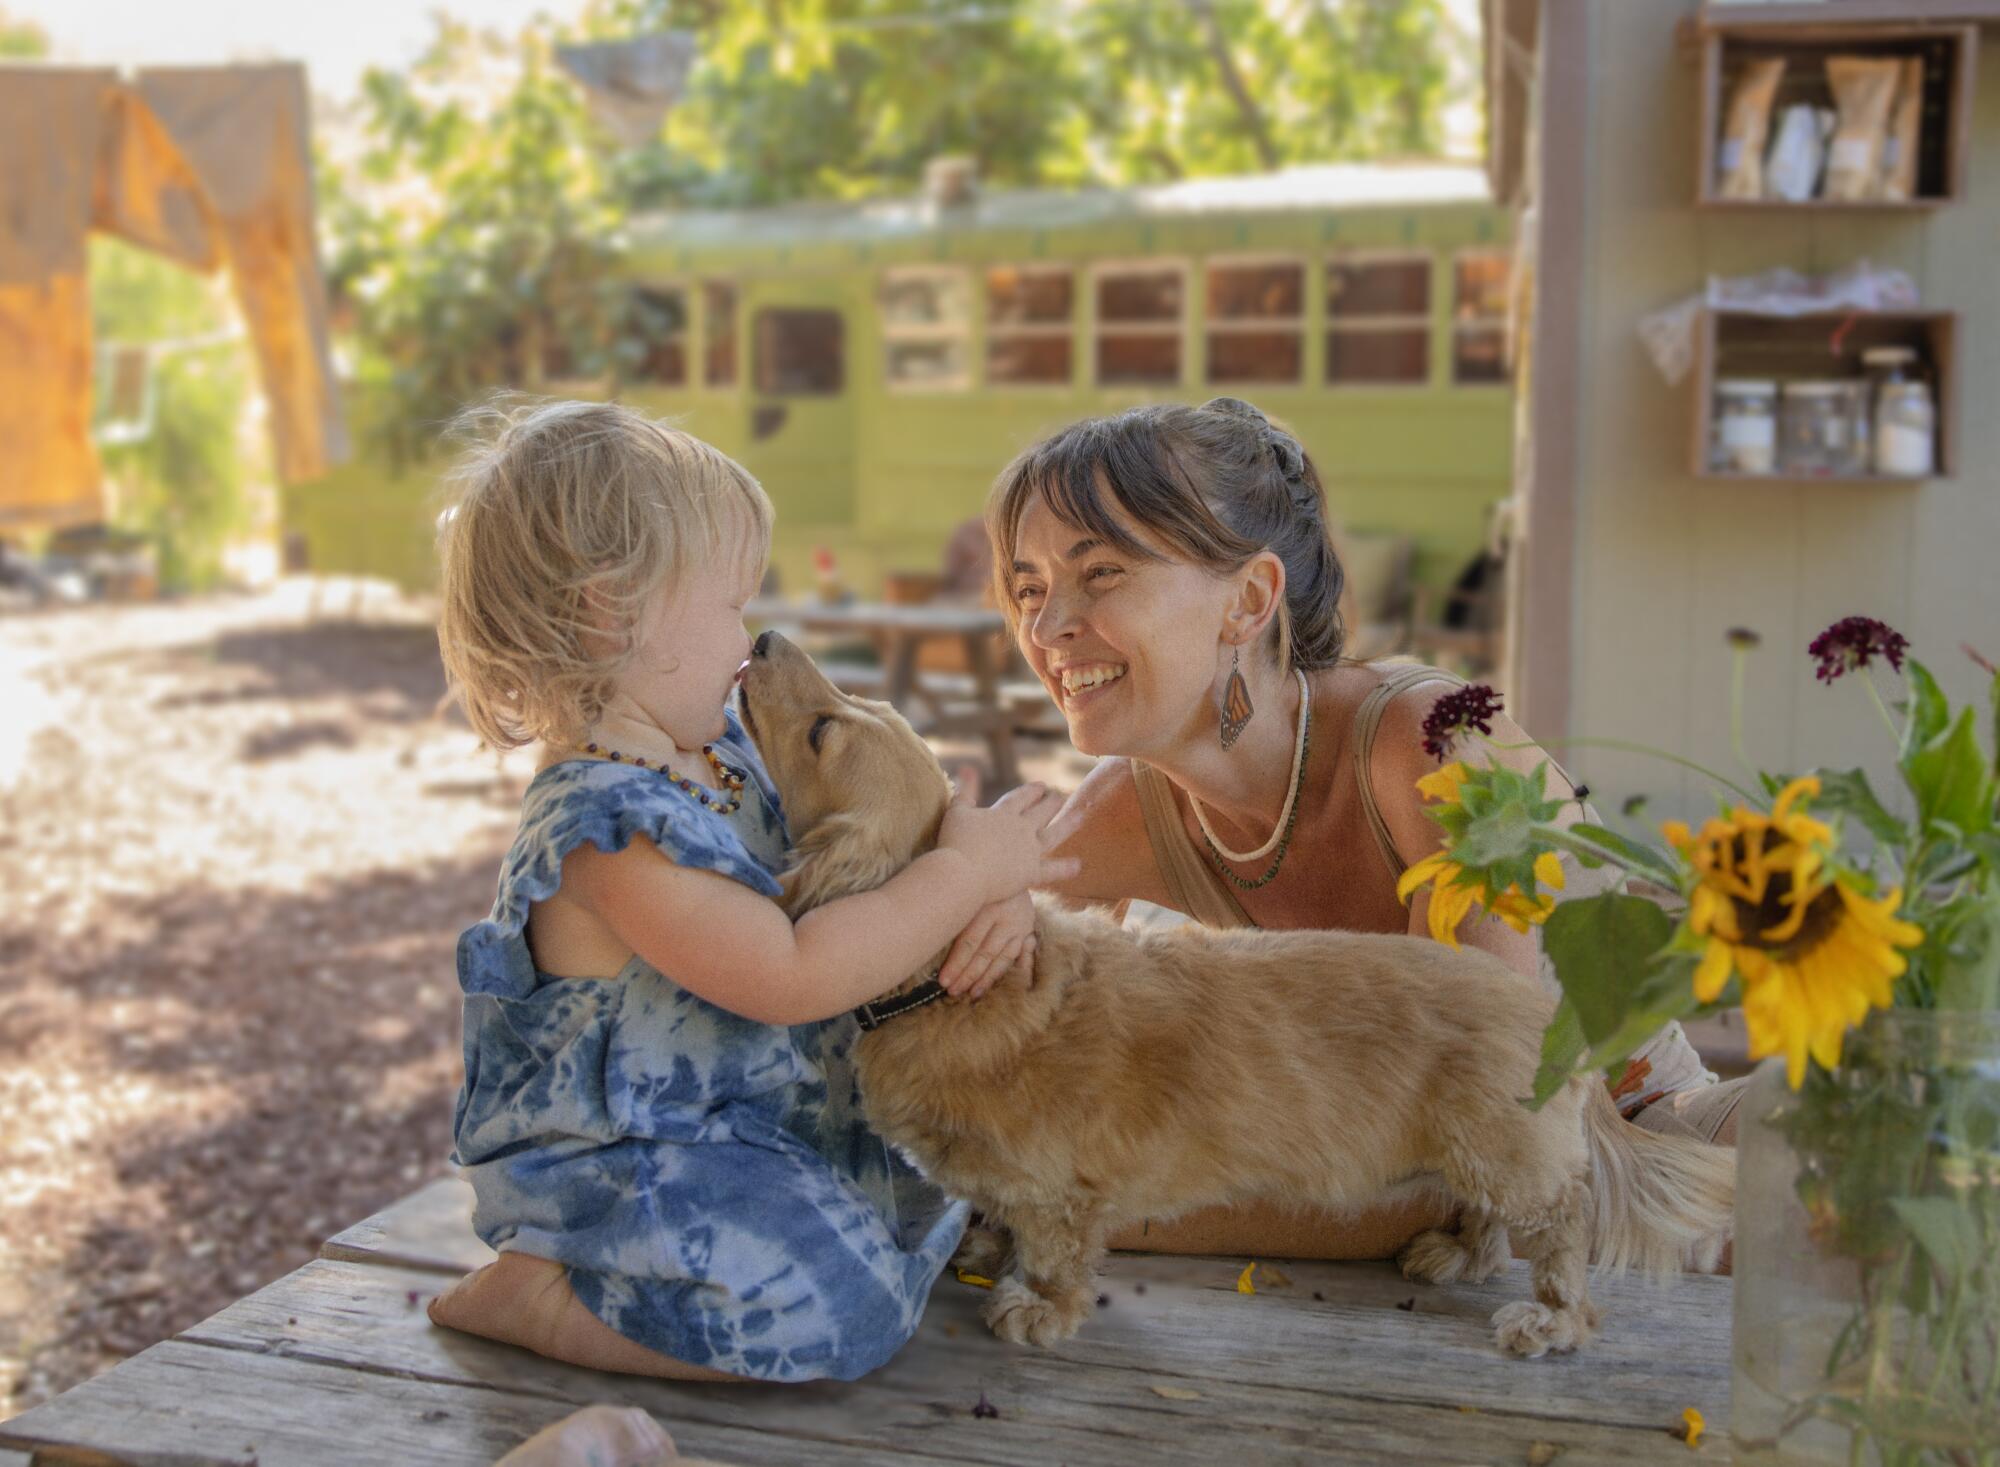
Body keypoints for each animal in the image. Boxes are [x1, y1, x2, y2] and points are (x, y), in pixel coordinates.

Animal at [736, 631, 1736, 1359]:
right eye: (853, 711)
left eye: (825, 730)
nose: (763, 636)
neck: (953, 979)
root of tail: (1544, 1008)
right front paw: (988, 1249)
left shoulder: (1061, 1186)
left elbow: (1055, 1249)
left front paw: (1037, 1306)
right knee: (1490, 1218)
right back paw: (1456, 1252)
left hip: (1507, 1154)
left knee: (1561, 1226)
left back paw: (1553, 1318)